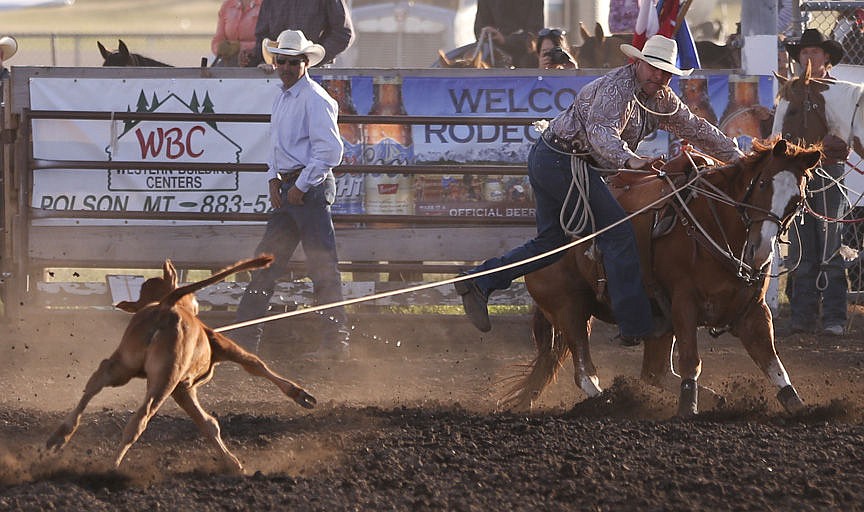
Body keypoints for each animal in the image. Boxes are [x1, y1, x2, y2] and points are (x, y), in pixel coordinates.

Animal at [506, 139, 824, 416]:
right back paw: (617, 402)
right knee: (585, 372)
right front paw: (687, 409)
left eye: (797, 200)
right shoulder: (684, 303)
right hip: (570, 308)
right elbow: (691, 362)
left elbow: (774, 365)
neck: (714, 225)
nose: (760, 251)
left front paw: (801, 408)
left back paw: (715, 400)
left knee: (653, 372)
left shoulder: (753, 312)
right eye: (762, 184)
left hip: (656, 322)